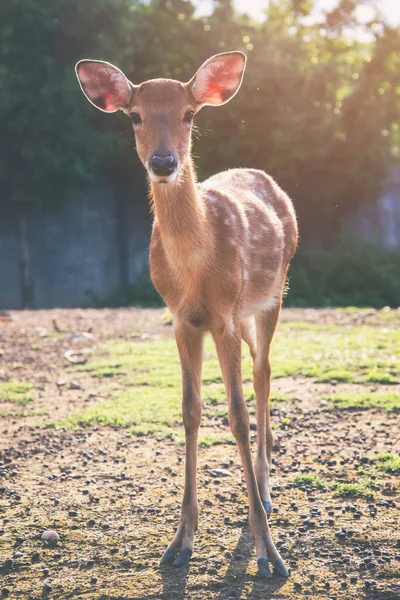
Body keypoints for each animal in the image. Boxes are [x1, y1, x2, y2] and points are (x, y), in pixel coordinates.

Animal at [76, 52, 298, 580]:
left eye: (189, 115)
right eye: (134, 116)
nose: (163, 162)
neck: (196, 270)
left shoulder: (225, 317)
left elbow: (236, 415)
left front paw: (269, 554)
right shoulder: (181, 320)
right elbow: (190, 410)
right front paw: (179, 545)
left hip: (272, 294)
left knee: (264, 374)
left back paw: (265, 490)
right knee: (259, 369)